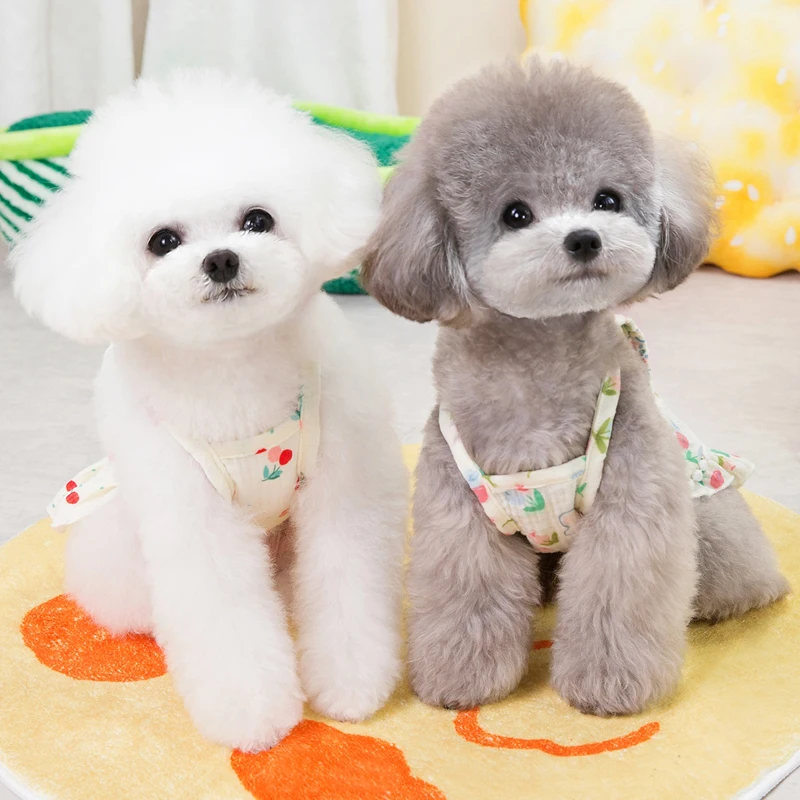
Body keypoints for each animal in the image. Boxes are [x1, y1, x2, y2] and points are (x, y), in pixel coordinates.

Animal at [11, 71, 407, 750]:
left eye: (258, 219)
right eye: (163, 241)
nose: (221, 259)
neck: (232, 366)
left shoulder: (341, 488)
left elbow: (346, 582)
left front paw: (351, 687)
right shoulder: (191, 516)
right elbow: (226, 616)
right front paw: (256, 717)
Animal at [363, 58, 788, 716]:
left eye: (607, 199)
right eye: (516, 214)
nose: (585, 237)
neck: (539, 367)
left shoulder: (634, 498)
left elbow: (617, 591)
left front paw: (609, 687)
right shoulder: (456, 510)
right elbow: (466, 592)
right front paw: (462, 680)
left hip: (706, 514)